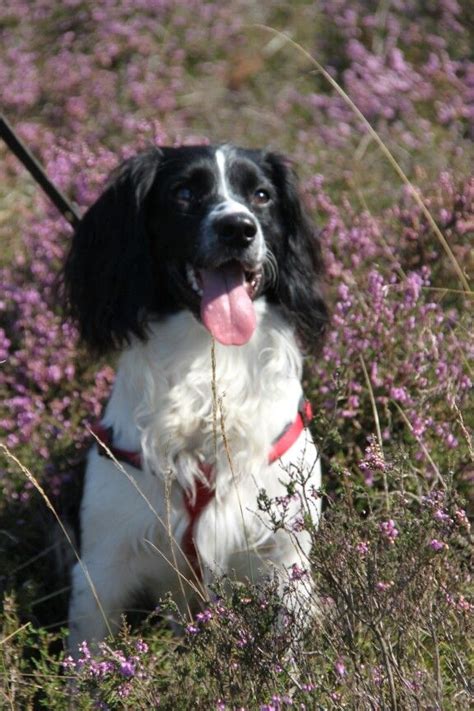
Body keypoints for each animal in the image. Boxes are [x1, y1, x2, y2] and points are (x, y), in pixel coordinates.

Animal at [65, 142, 328, 652]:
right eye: (184, 192)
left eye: (261, 195)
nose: (238, 228)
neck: (209, 365)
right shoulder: (103, 568)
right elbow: (89, 661)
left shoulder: (286, 557)